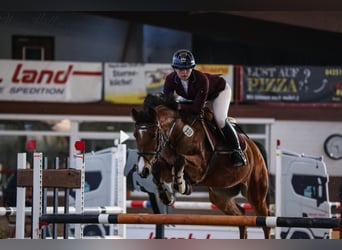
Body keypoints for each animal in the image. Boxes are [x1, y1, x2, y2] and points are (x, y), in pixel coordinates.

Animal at [131, 93, 270, 238]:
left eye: (153, 135)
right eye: (135, 135)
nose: (142, 170)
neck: (177, 133)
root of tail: (255, 147)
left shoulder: (200, 168)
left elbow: (180, 160)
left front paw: (182, 185)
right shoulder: (166, 169)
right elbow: (158, 169)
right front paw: (166, 196)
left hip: (256, 194)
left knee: (265, 220)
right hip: (220, 195)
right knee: (240, 216)